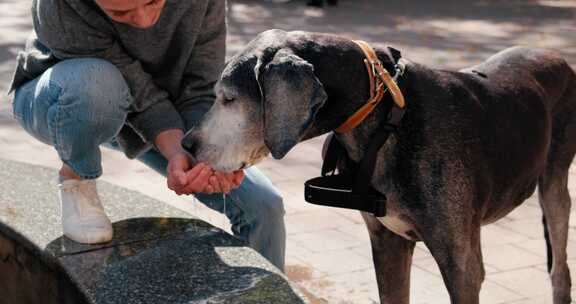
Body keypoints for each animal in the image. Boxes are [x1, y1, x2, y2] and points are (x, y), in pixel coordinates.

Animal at [183, 29, 576, 304]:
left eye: (228, 98)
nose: (187, 144)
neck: (387, 118)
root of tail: (559, 57)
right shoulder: (387, 244)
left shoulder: (461, 265)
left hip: (555, 187)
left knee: (560, 269)